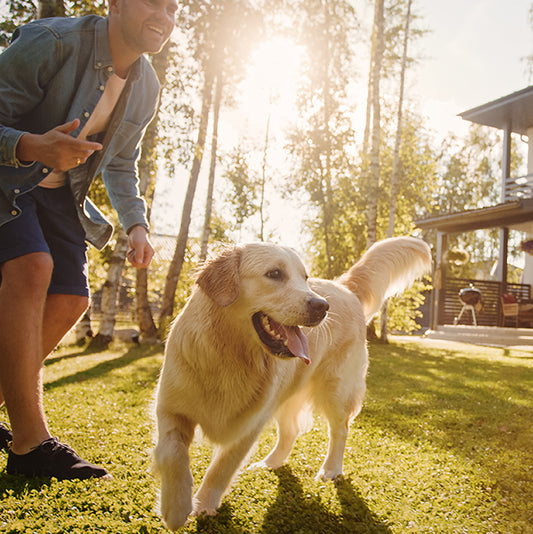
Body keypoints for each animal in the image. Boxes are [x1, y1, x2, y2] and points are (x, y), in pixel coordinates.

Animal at [152, 237, 430, 528]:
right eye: (274, 274)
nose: (322, 306)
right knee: (291, 431)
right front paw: (175, 506)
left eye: (305, 278)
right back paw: (270, 463)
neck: (229, 355)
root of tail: (343, 286)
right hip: (287, 397)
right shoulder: (170, 406)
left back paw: (330, 469)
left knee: (339, 430)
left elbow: (221, 468)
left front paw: (203, 504)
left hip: (335, 390)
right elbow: (172, 452)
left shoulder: (249, 424)